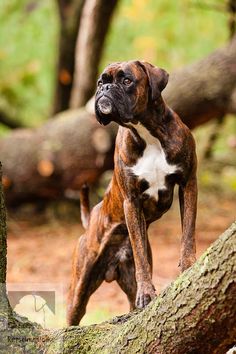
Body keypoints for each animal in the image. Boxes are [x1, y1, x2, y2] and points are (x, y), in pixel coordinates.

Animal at [67, 60, 197, 326]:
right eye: (101, 81)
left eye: (126, 80)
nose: (104, 89)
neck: (147, 133)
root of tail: (91, 220)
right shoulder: (131, 200)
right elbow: (139, 254)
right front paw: (147, 292)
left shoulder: (188, 183)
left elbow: (187, 232)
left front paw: (187, 265)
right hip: (79, 288)